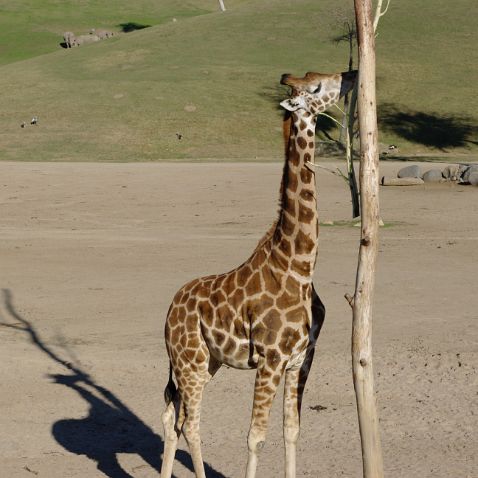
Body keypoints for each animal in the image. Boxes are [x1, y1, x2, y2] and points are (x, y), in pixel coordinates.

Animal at [161, 68, 354, 478]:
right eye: (317, 86)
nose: (351, 74)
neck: (300, 266)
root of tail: (170, 309)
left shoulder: (302, 359)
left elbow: (291, 432)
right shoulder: (270, 360)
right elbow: (255, 437)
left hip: (205, 362)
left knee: (171, 415)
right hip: (190, 360)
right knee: (190, 423)